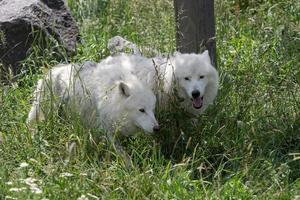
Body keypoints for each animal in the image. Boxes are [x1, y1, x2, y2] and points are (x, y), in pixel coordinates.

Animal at [26, 61, 159, 167]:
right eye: (141, 110)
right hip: (45, 112)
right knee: (31, 124)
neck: (111, 98)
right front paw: (131, 167)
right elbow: (121, 152)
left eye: (152, 109)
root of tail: (51, 70)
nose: (157, 128)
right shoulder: (106, 129)